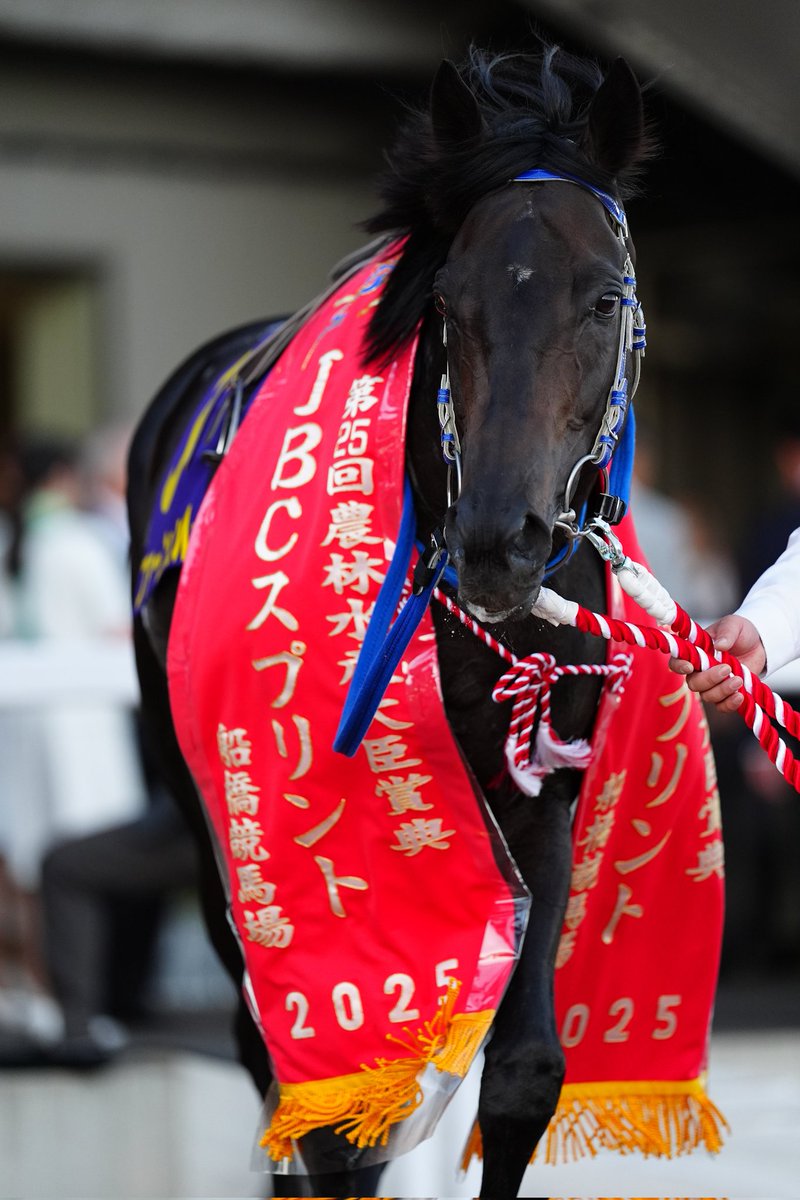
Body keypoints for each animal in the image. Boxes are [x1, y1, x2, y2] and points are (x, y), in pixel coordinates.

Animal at [128, 45, 650, 1200]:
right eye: (447, 300)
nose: (500, 537)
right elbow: (338, 1115)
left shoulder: (542, 776)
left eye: (603, 298)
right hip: (202, 812)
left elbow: (521, 1075)